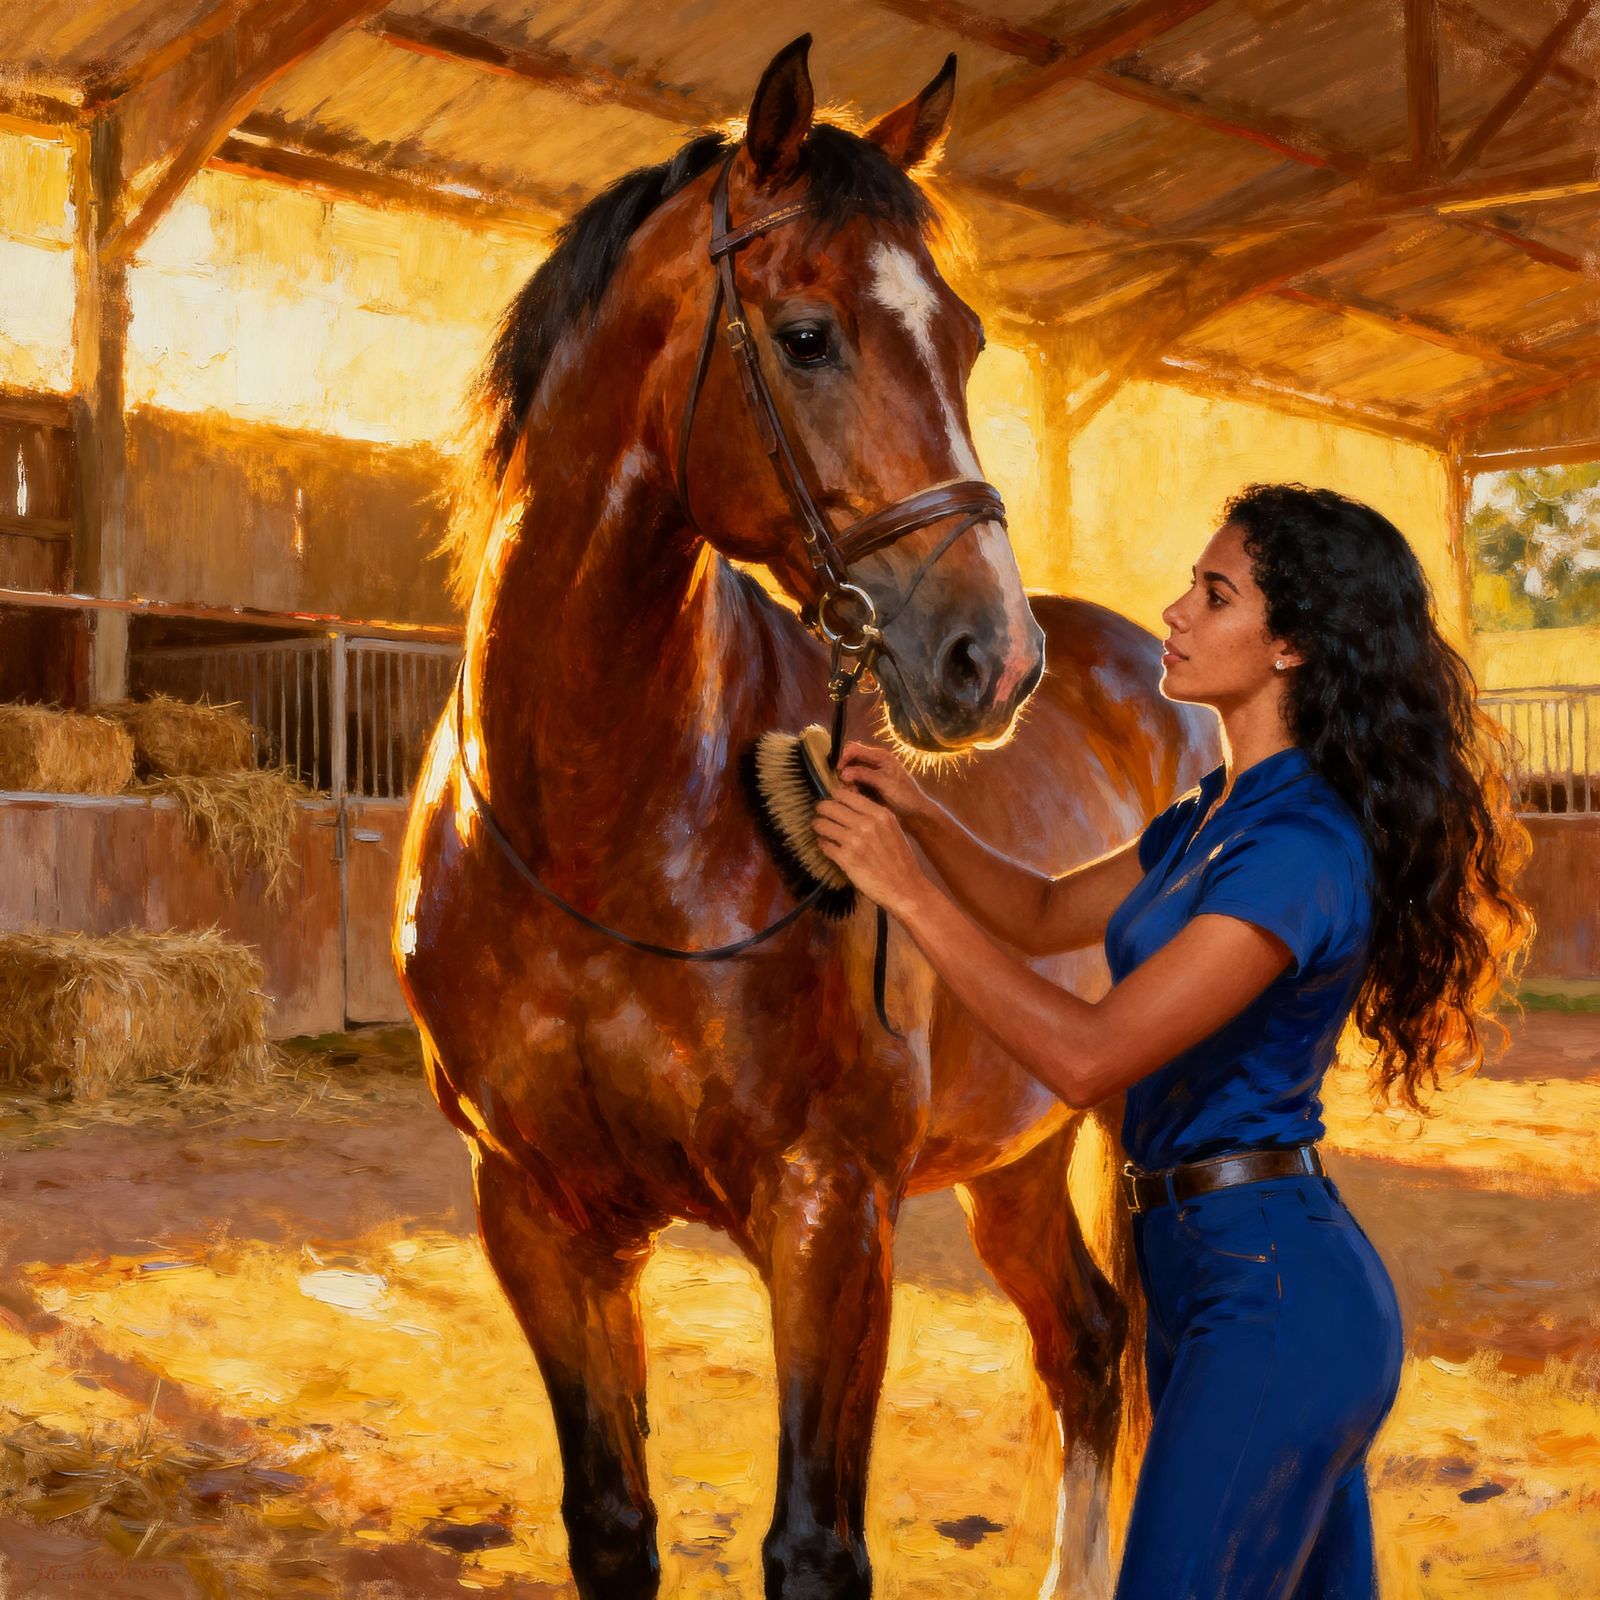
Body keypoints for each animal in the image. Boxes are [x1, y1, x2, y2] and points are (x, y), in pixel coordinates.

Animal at [395, 35, 1213, 1600]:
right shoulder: (539, 1214)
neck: (606, 826)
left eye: (966, 340)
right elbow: (613, 1523)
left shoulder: (829, 1214)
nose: (988, 659)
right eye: (808, 334)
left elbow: (816, 1547)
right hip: (1018, 1154)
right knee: (1085, 1345)